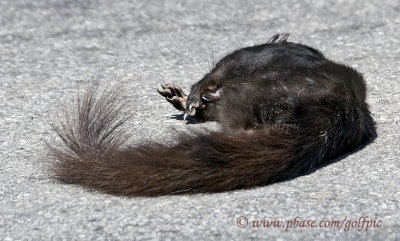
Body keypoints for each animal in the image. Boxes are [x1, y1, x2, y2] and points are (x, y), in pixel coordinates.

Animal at [47, 33, 376, 196]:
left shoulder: (239, 61)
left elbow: (210, 78)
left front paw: (190, 98)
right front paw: (183, 99)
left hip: (252, 89)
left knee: (228, 108)